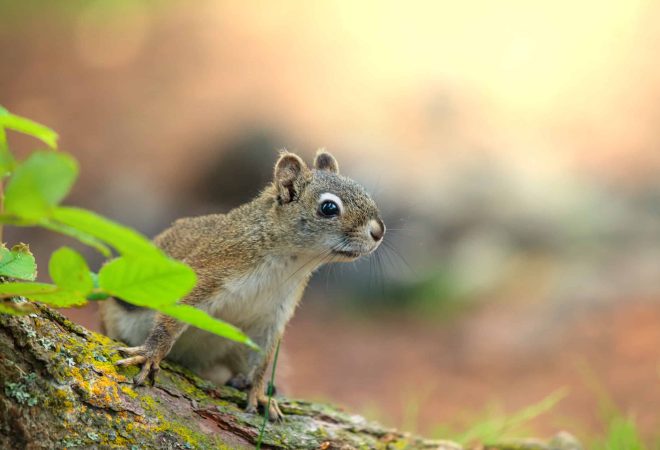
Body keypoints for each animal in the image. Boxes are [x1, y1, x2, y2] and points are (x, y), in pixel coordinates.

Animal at [100, 149, 385, 420]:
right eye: (328, 208)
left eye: (363, 191)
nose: (378, 231)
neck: (286, 264)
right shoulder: (208, 272)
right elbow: (171, 319)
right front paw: (150, 355)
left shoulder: (271, 316)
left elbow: (263, 360)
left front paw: (258, 394)